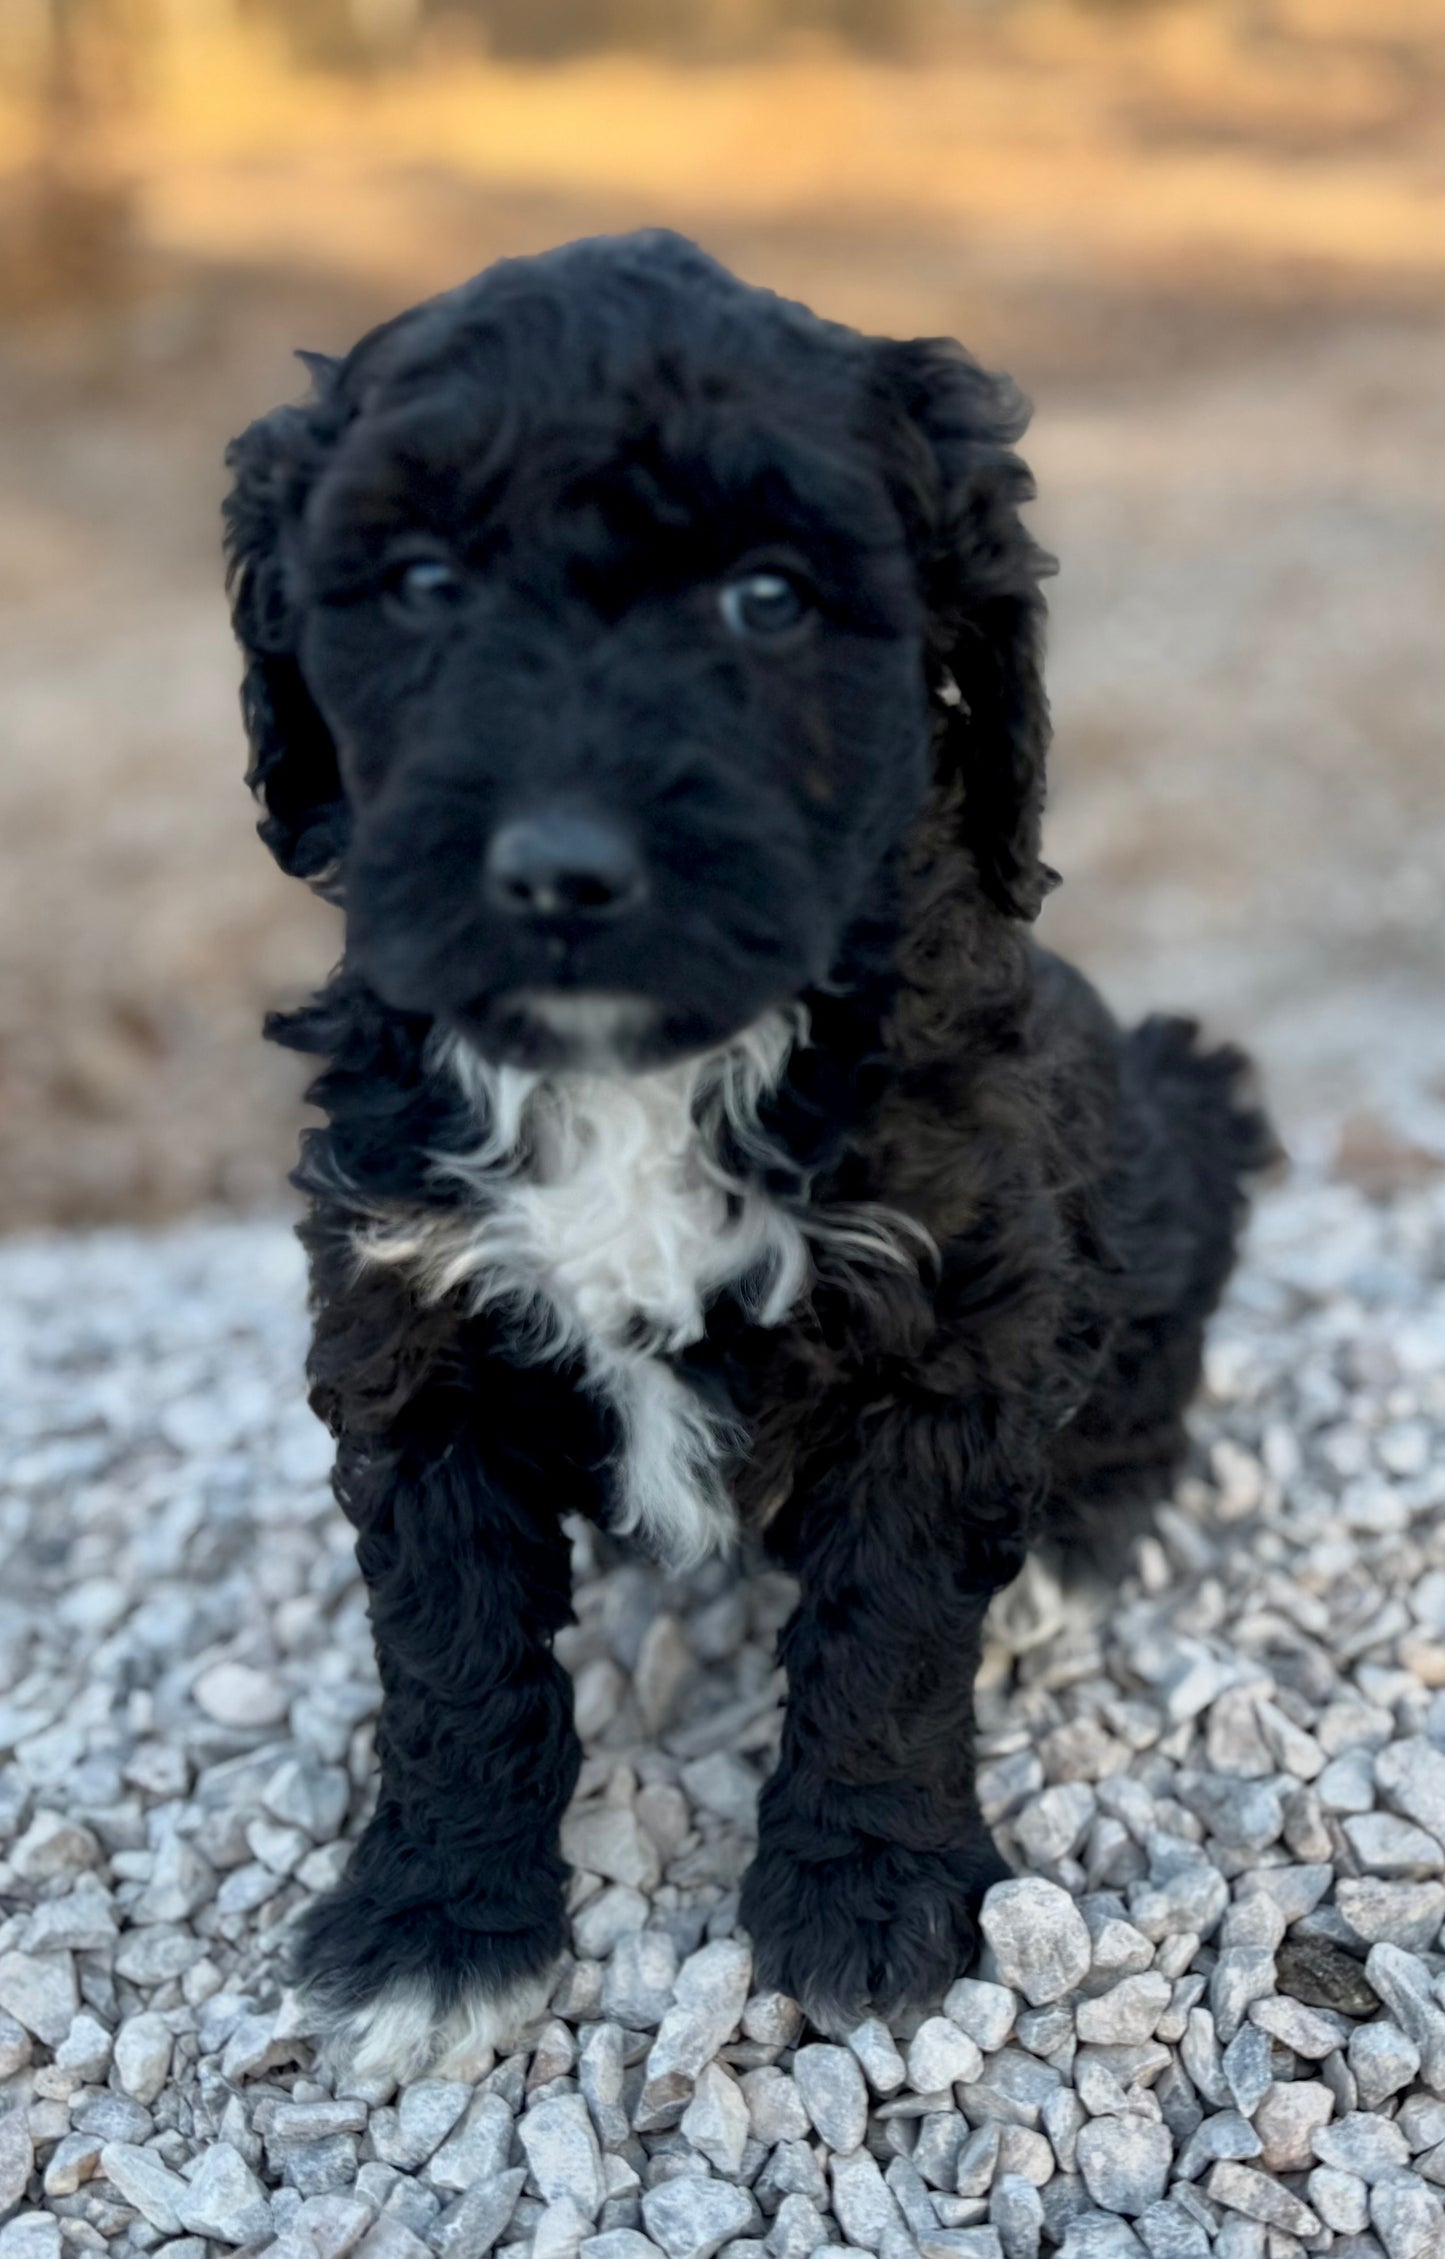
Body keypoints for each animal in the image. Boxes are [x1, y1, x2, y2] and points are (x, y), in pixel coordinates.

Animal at [220, 233, 1273, 2078]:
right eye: (418, 580)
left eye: (769, 598)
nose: (562, 868)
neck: (653, 1067)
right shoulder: (407, 1310)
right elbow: (453, 1643)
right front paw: (437, 1917)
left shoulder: (950, 1320)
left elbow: (890, 1633)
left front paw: (866, 1895)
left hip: (1180, 1114)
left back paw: (1086, 1529)